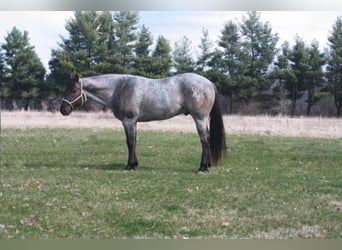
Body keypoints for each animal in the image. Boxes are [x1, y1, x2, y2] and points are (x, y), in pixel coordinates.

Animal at [60, 73, 227, 173]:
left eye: (73, 90)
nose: (63, 109)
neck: (118, 88)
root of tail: (209, 83)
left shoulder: (128, 121)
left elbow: (130, 142)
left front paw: (129, 166)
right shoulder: (133, 122)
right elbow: (134, 141)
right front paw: (134, 164)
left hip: (200, 118)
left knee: (205, 140)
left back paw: (203, 168)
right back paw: (207, 165)